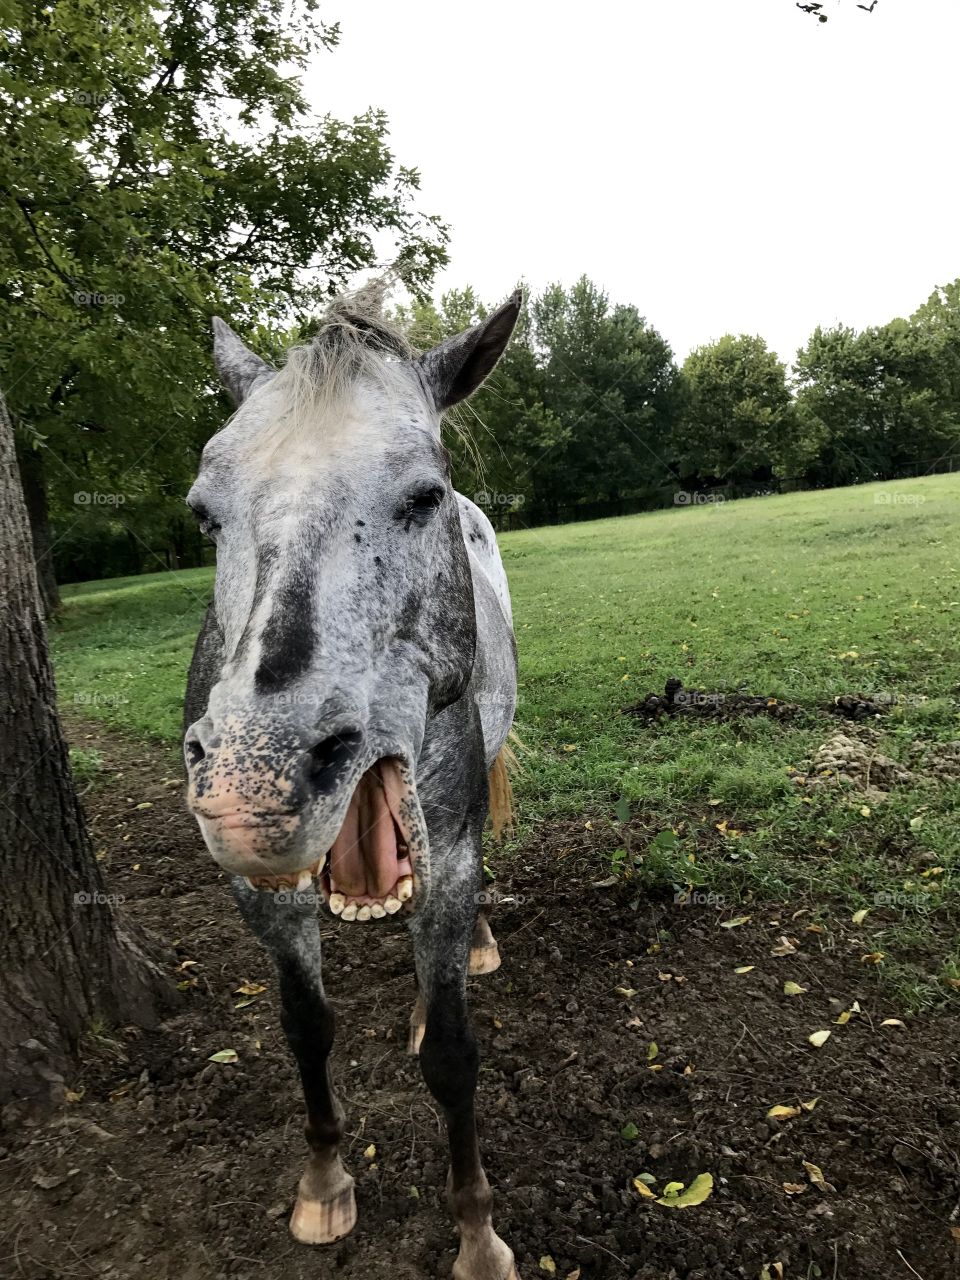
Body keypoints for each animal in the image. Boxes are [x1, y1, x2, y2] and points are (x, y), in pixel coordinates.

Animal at [182, 286, 522, 1280]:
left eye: (424, 495)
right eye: (204, 514)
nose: (252, 785)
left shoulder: (450, 858)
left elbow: (452, 1053)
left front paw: (476, 1233)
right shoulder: (264, 896)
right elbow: (306, 1027)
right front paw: (324, 1181)